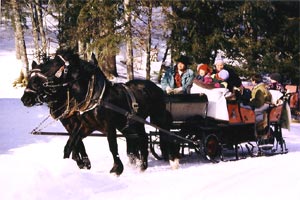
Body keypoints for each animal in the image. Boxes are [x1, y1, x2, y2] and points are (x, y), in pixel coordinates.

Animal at [21, 50, 178, 175]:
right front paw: (80, 163)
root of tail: (155, 87)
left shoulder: (108, 127)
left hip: (157, 117)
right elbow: (72, 144)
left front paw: (116, 169)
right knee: (142, 138)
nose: (25, 99)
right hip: (131, 123)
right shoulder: (85, 126)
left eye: (52, 67)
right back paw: (142, 166)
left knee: (165, 134)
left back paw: (172, 159)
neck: (94, 97)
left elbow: (111, 146)